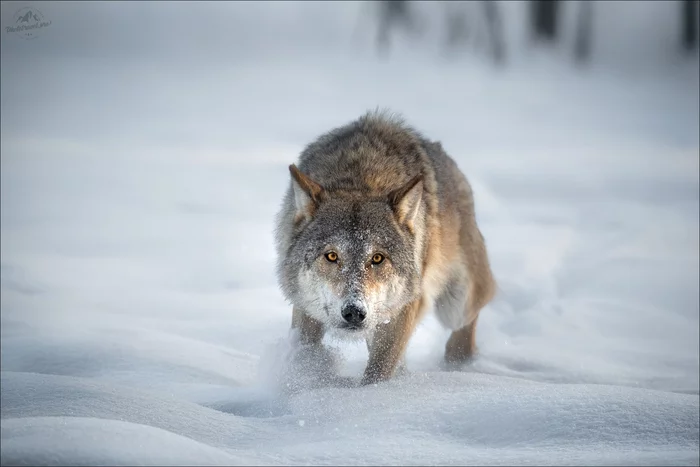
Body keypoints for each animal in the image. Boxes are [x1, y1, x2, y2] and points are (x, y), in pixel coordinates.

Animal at [274, 110, 498, 388]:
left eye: (378, 258)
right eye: (332, 256)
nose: (354, 312)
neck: (362, 178)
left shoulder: (402, 310)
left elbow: (378, 372)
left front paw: (375, 396)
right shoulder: (306, 307)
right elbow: (306, 354)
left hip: (455, 305)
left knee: (469, 319)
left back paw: (458, 365)